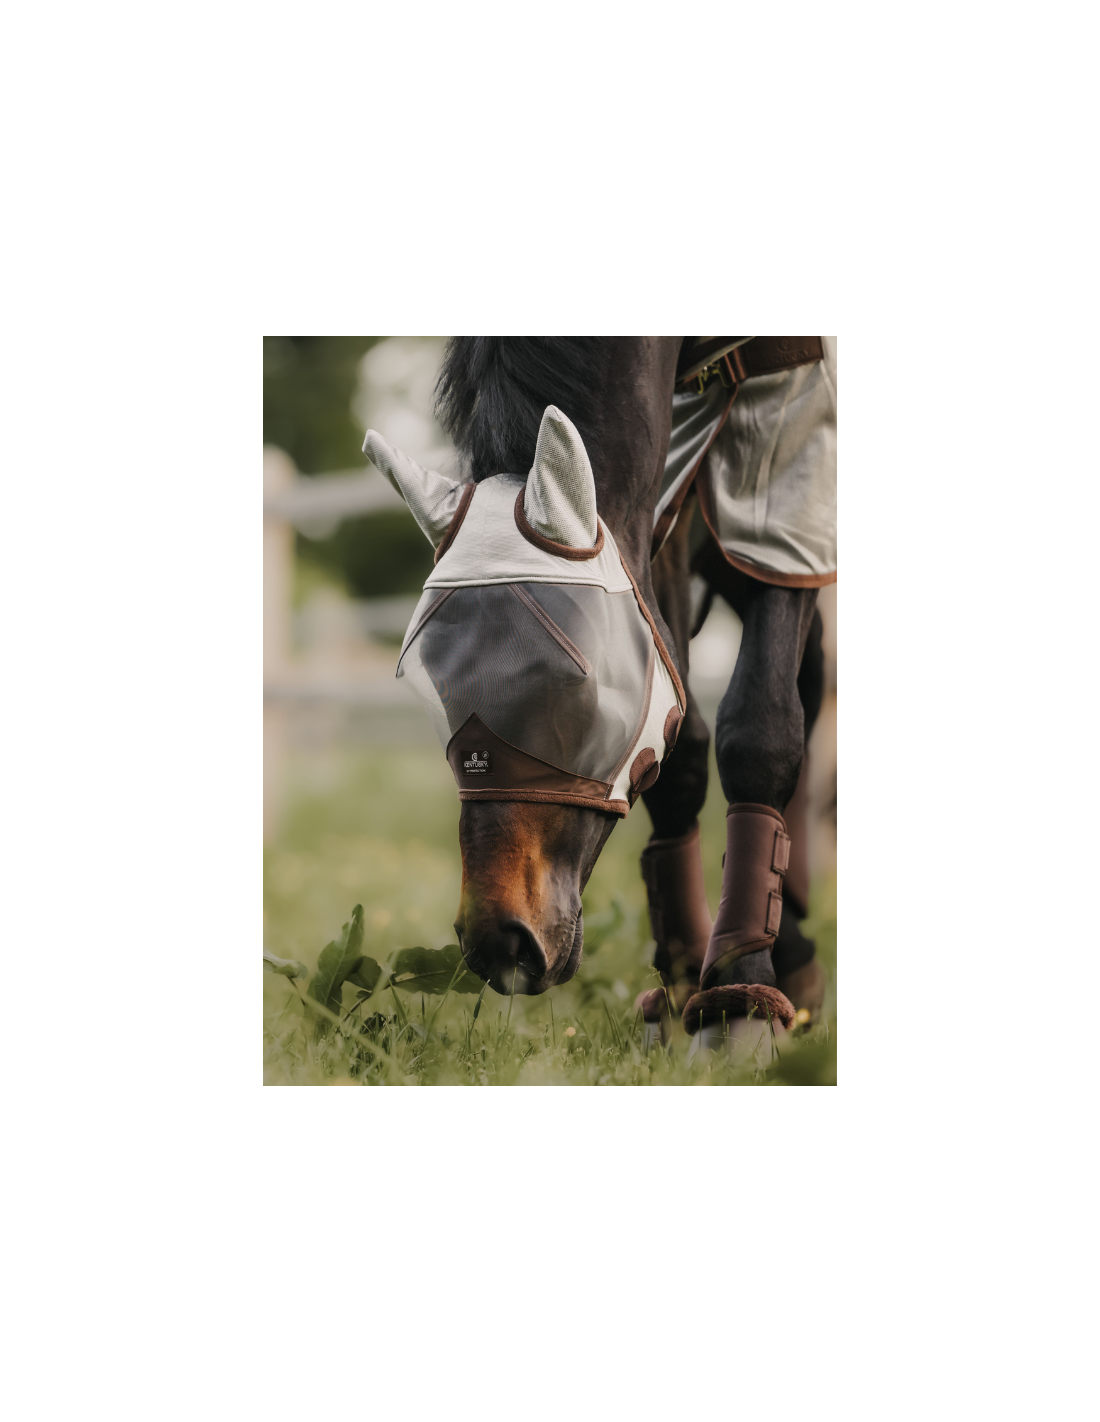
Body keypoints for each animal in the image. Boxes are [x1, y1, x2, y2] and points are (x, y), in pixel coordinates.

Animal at [363, 337, 835, 1048]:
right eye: (430, 691)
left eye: (578, 684)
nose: (502, 943)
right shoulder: (666, 487)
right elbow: (679, 748)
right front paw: (687, 982)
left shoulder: (788, 441)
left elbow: (759, 728)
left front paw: (740, 1002)